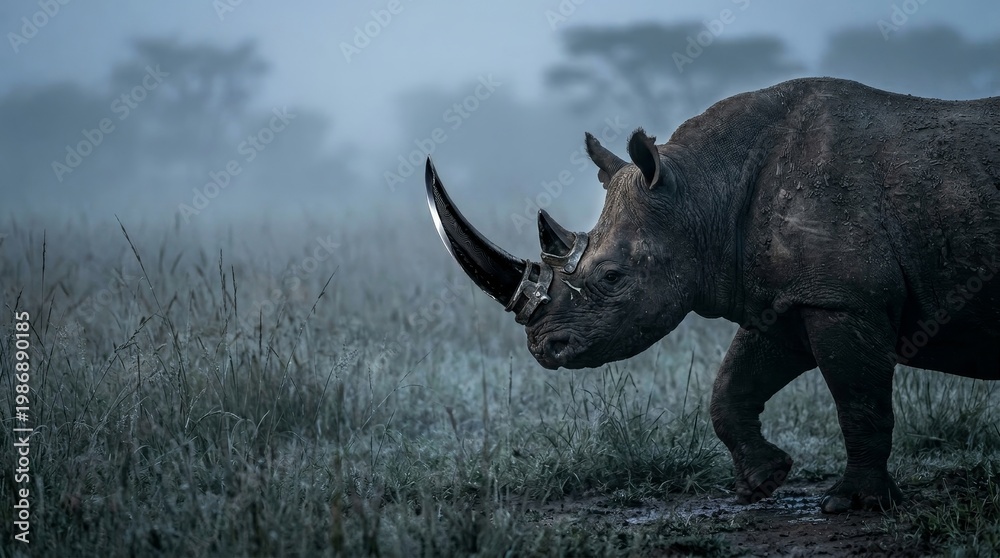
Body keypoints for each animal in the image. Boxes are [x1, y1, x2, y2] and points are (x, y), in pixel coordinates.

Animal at [424, 77, 1000, 513]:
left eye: (611, 278)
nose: (545, 347)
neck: (702, 191)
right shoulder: (788, 298)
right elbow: (731, 386)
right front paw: (763, 482)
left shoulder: (843, 297)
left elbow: (858, 400)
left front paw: (854, 504)